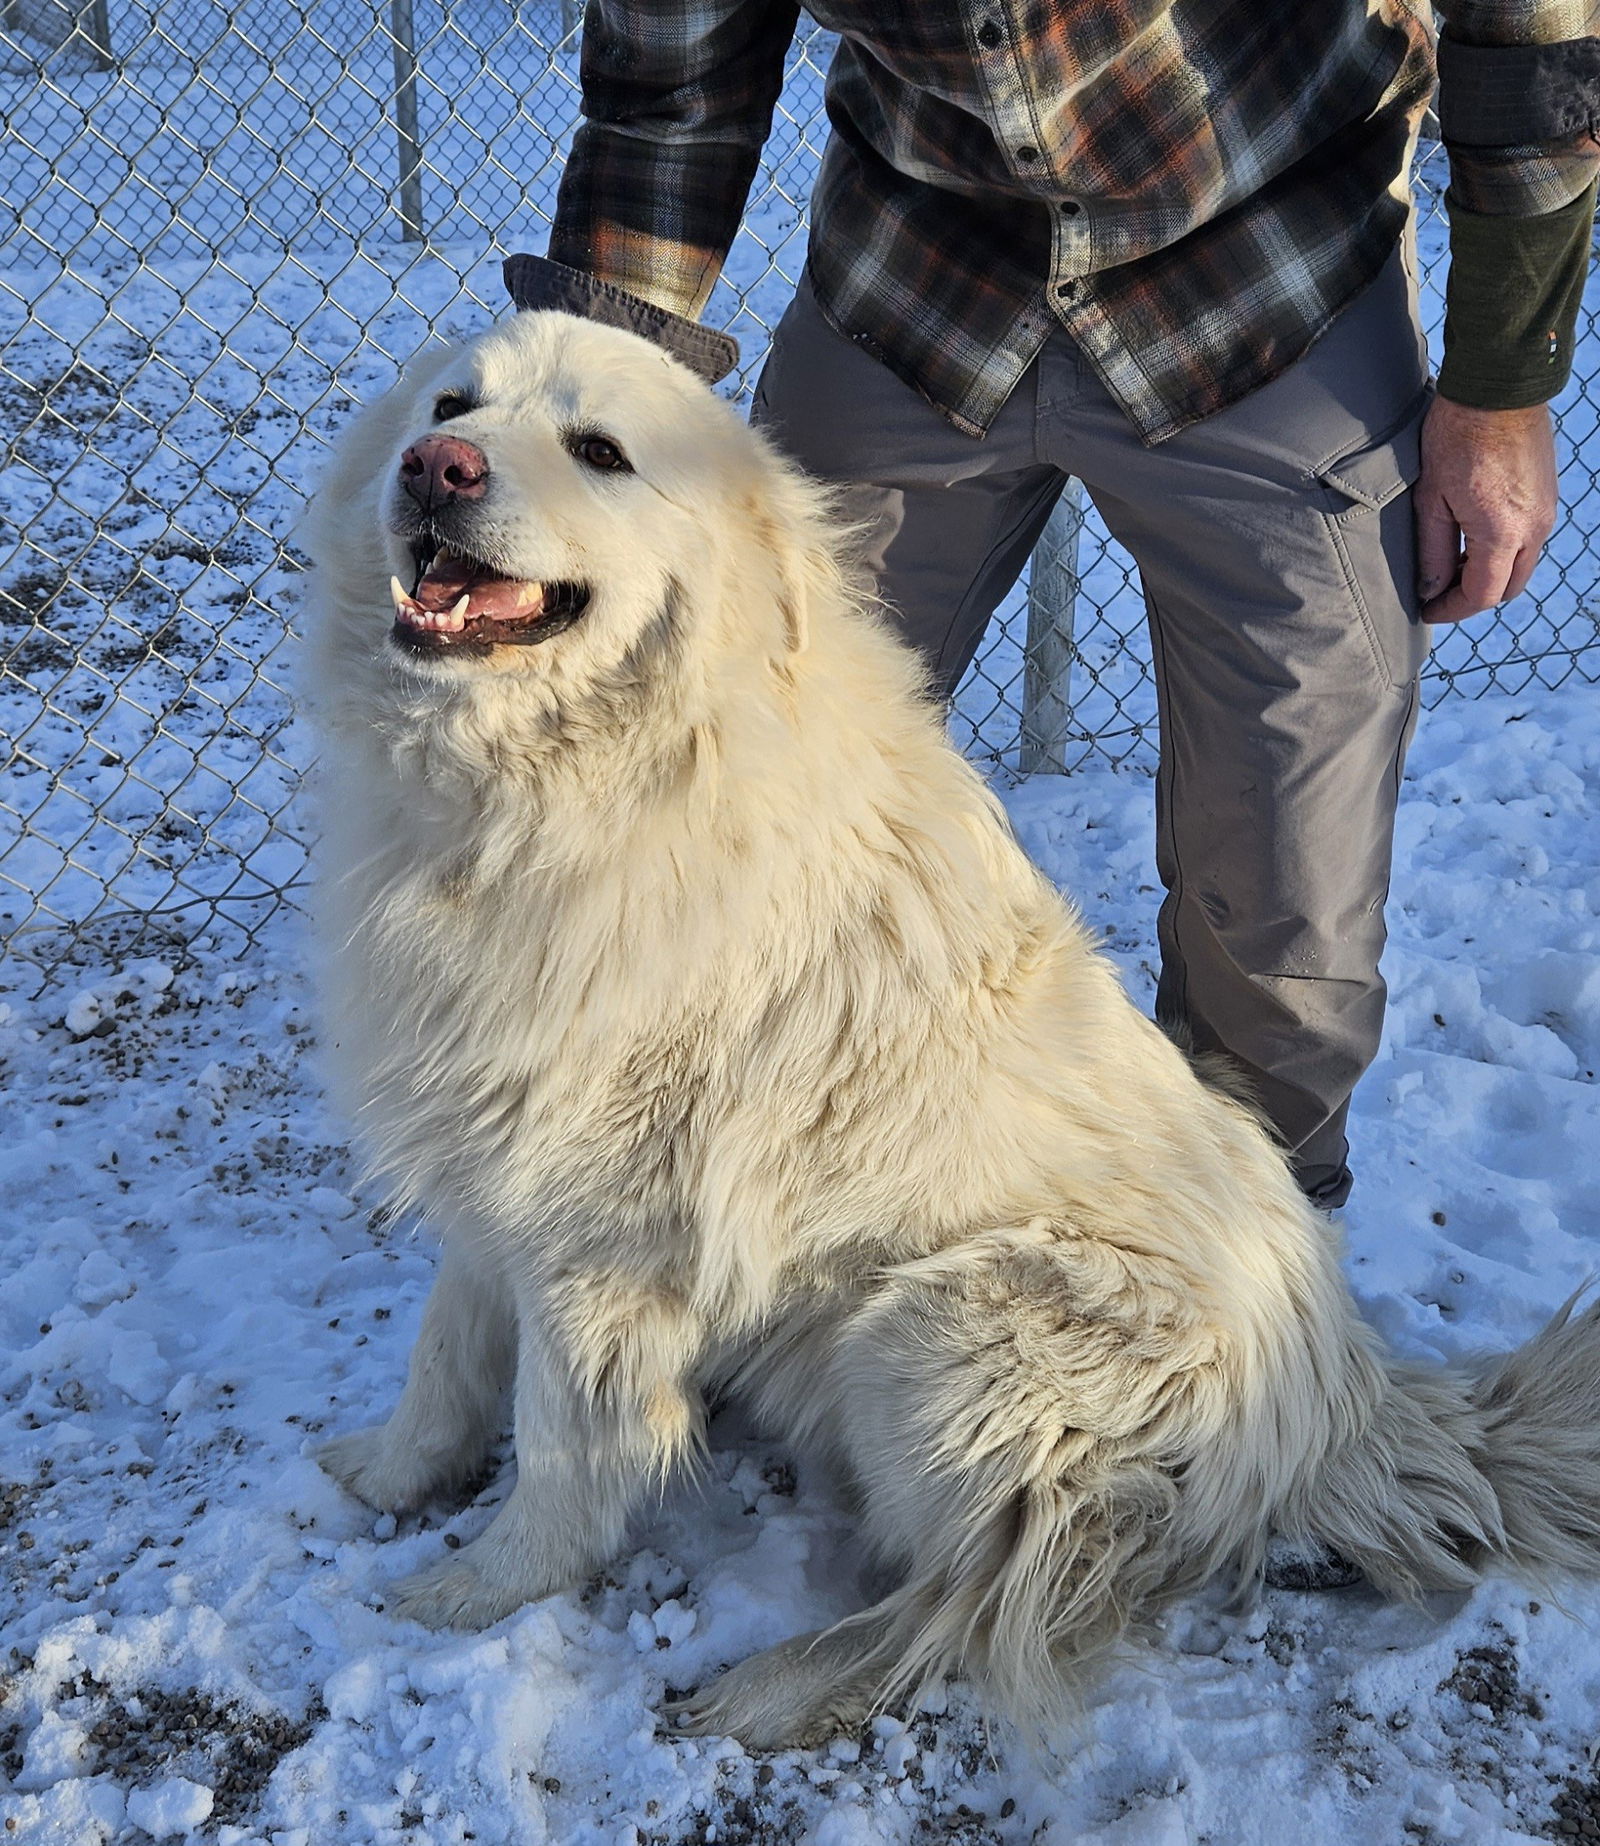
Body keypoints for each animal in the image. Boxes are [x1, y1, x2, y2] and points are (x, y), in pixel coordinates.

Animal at [306, 302, 1600, 1742]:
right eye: (450, 406)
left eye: (599, 450)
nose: (438, 471)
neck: (571, 782)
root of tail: (1346, 1401)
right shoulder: (495, 1152)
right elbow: (446, 1352)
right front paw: (390, 1474)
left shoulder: (602, 1241)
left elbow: (561, 1450)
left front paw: (469, 1597)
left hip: (935, 1335)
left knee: (978, 1603)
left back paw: (764, 1691)